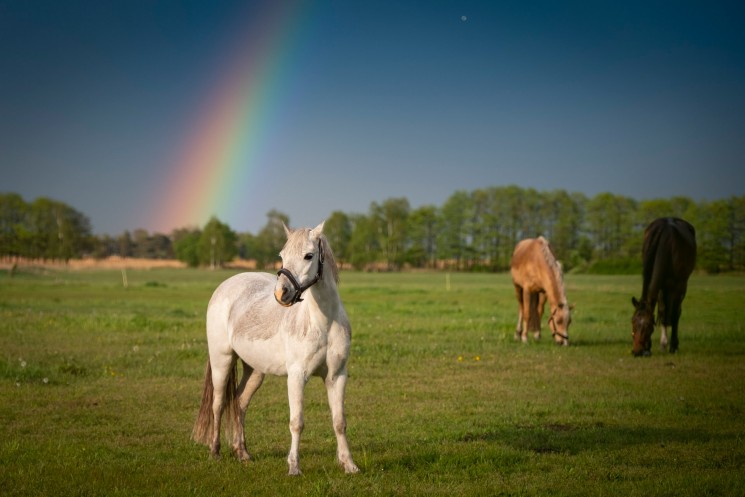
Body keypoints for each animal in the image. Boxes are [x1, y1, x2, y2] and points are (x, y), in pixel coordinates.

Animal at [190, 223, 356, 474]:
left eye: (308, 255)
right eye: (282, 255)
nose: (281, 293)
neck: (324, 323)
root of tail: (226, 285)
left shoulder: (337, 376)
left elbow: (340, 422)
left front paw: (349, 464)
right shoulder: (297, 376)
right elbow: (297, 422)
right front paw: (294, 467)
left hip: (255, 370)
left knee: (239, 403)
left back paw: (242, 453)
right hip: (222, 360)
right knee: (218, 405)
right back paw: (215, 452)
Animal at [632, 215, 696, 354]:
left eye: (648, 325)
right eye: (633, 322)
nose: (637, 352)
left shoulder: (678, 286)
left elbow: (675, 314)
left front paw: (673, 346)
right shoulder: (660, 286)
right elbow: (662, 311)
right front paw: (660, 344)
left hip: (680, 285)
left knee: (675, 312)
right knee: (664, 311)